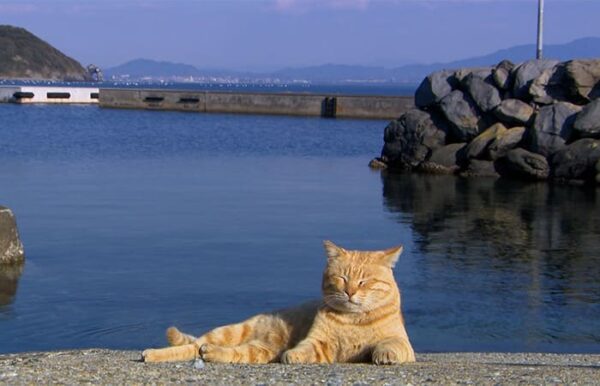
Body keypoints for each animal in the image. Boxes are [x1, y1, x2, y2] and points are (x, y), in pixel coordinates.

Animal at [143, 241, 414, 364]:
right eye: (342, 278)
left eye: (364, 281)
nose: (349, 292)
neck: (353, 320)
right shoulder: (318, 343)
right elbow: (303, 349)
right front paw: (292, 355)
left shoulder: (401, 341)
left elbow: (390, 344)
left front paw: (385, 354)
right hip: (230, 332)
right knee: (194, 345)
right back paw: (153, 354)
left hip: (257, 351)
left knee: (222, 352)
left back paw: (208, 353)